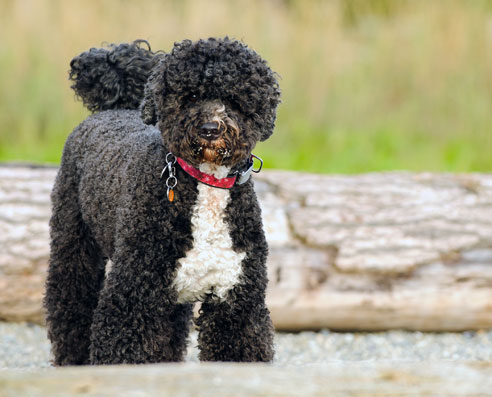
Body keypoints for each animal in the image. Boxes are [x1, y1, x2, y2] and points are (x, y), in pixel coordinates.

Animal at [44, 38, 282, 364]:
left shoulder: (235, 299)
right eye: (190, 95)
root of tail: (114, 109)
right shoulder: (132, 295)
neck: (205, 185)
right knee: (70, 307)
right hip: (74, 245)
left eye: (234, 99)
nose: (210, 129)